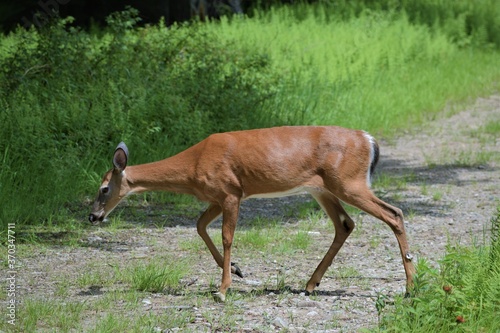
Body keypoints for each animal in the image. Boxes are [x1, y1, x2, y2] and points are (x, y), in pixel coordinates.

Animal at [89, 125, 414, 300]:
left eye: (103, 188)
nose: (93, 216)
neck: (193, 165)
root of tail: (368, 139)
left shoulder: (231, 193)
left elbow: (227, 237)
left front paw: (223, 289)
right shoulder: (217, 197)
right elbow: (199, 225)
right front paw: (236, 269)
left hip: (349, 182)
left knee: (394, 213)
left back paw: (410, 288)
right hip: (322, 189)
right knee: (345, 224)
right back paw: (310, 284)